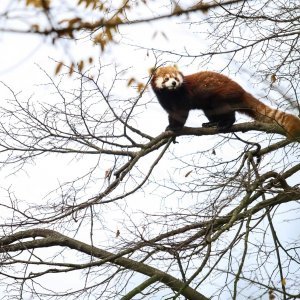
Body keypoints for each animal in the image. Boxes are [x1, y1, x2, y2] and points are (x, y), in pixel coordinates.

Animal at [151, 65, 300, 139]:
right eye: (166, 79)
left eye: (175, 77)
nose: (174, 83)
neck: (171, 94)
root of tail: (241, 90)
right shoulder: (165, 101)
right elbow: (172, 114)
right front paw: (169, 125)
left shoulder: (183, 97)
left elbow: (181, 113)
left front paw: (175, 127)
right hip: (209, 105)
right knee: (211, 112)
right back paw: (211, 123)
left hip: (221, 95)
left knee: (227, 111)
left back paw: (226, 123)